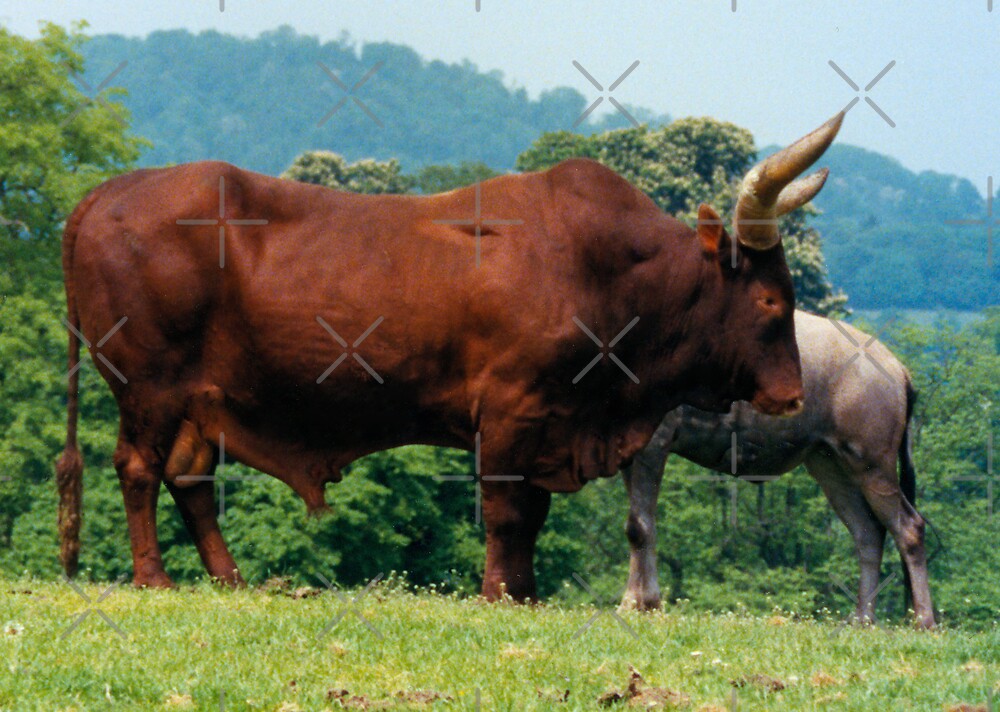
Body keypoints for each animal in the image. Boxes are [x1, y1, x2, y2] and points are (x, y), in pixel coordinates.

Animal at [52, 114, 836, 596]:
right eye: (772, 301)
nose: (791, 394)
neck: (607, 270)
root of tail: (102, 195)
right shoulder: (512, 412)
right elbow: (507, 512)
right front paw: (498, 594)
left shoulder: (548, 425)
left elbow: (532, 515)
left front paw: (524, 594)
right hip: (147, 385)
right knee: (138, 469)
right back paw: (153, 578)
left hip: (201, 399)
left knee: (189, 476)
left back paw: (230, 579)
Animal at [620, 312, 932, 628]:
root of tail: (897, 368)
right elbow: (640, 526)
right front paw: (640, 602)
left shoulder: (653, 443)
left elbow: (640, 526)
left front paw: (636, 603)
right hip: (830, 466)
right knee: (868, 532)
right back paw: (862, 619)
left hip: (872, 466)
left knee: (909, 527)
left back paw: (923, 621)